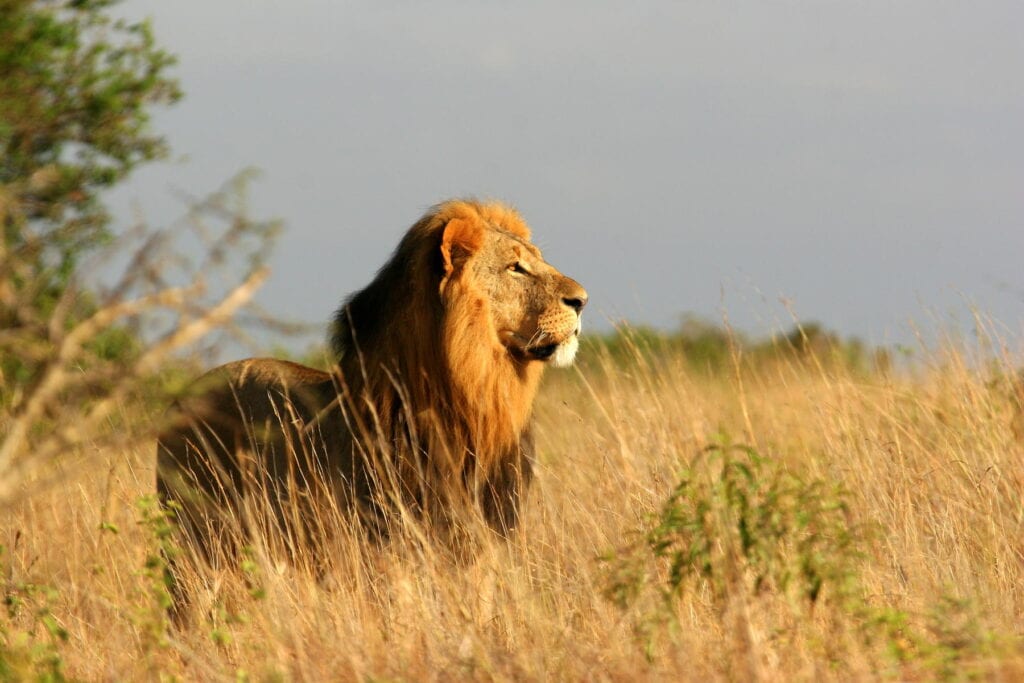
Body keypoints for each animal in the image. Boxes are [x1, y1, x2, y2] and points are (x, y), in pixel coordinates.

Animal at [157, 201, 593, 573]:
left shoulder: (481, 538)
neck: (478, 398)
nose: (582, 300)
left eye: (537, 259)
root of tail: (179, 398)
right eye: (515, 268)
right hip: (193, 545)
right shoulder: (385, 542)